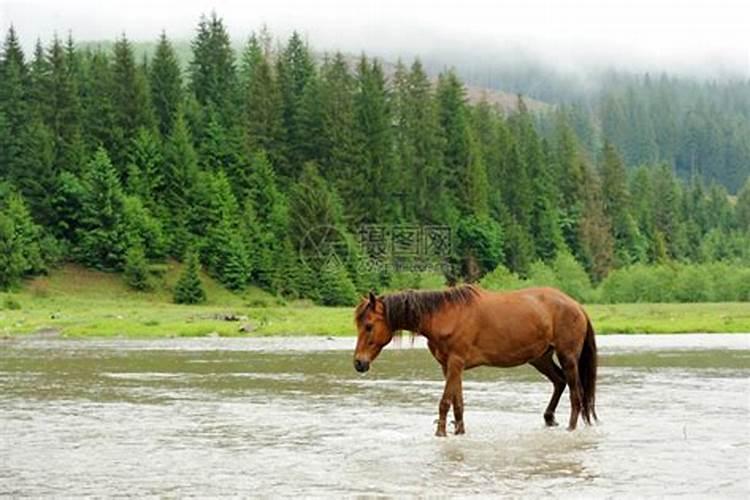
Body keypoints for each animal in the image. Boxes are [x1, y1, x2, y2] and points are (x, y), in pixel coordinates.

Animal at [354, 288, 600, 436]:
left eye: (369, 326)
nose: (359, 363)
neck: (445, 316)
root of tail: (577, 305)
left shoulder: (455, 363)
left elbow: (445, 401)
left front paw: (441, 433)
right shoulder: (450, 367)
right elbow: (458, 403)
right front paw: (459, 431)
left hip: (568, 357)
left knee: (576, 393)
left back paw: (570, 428)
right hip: (540, 358)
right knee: (560, 382)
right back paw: (549, 418)